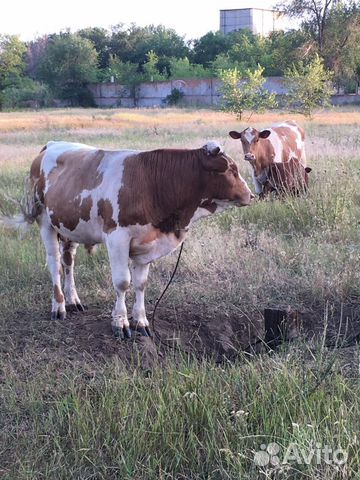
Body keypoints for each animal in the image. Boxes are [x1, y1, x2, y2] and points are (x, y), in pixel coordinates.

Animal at [2, 141, 255, 340]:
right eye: (231, 169)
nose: (251, 195)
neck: (151, 182)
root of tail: (50, 145)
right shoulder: (117, 238)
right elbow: (123, 282)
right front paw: (120, 322)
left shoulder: (147, 242)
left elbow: (141, 283)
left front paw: (141, 321)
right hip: (45, 221)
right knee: (54, 263)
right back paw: (59, 306)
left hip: (70, 226)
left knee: (68, 261)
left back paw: (73, 300)